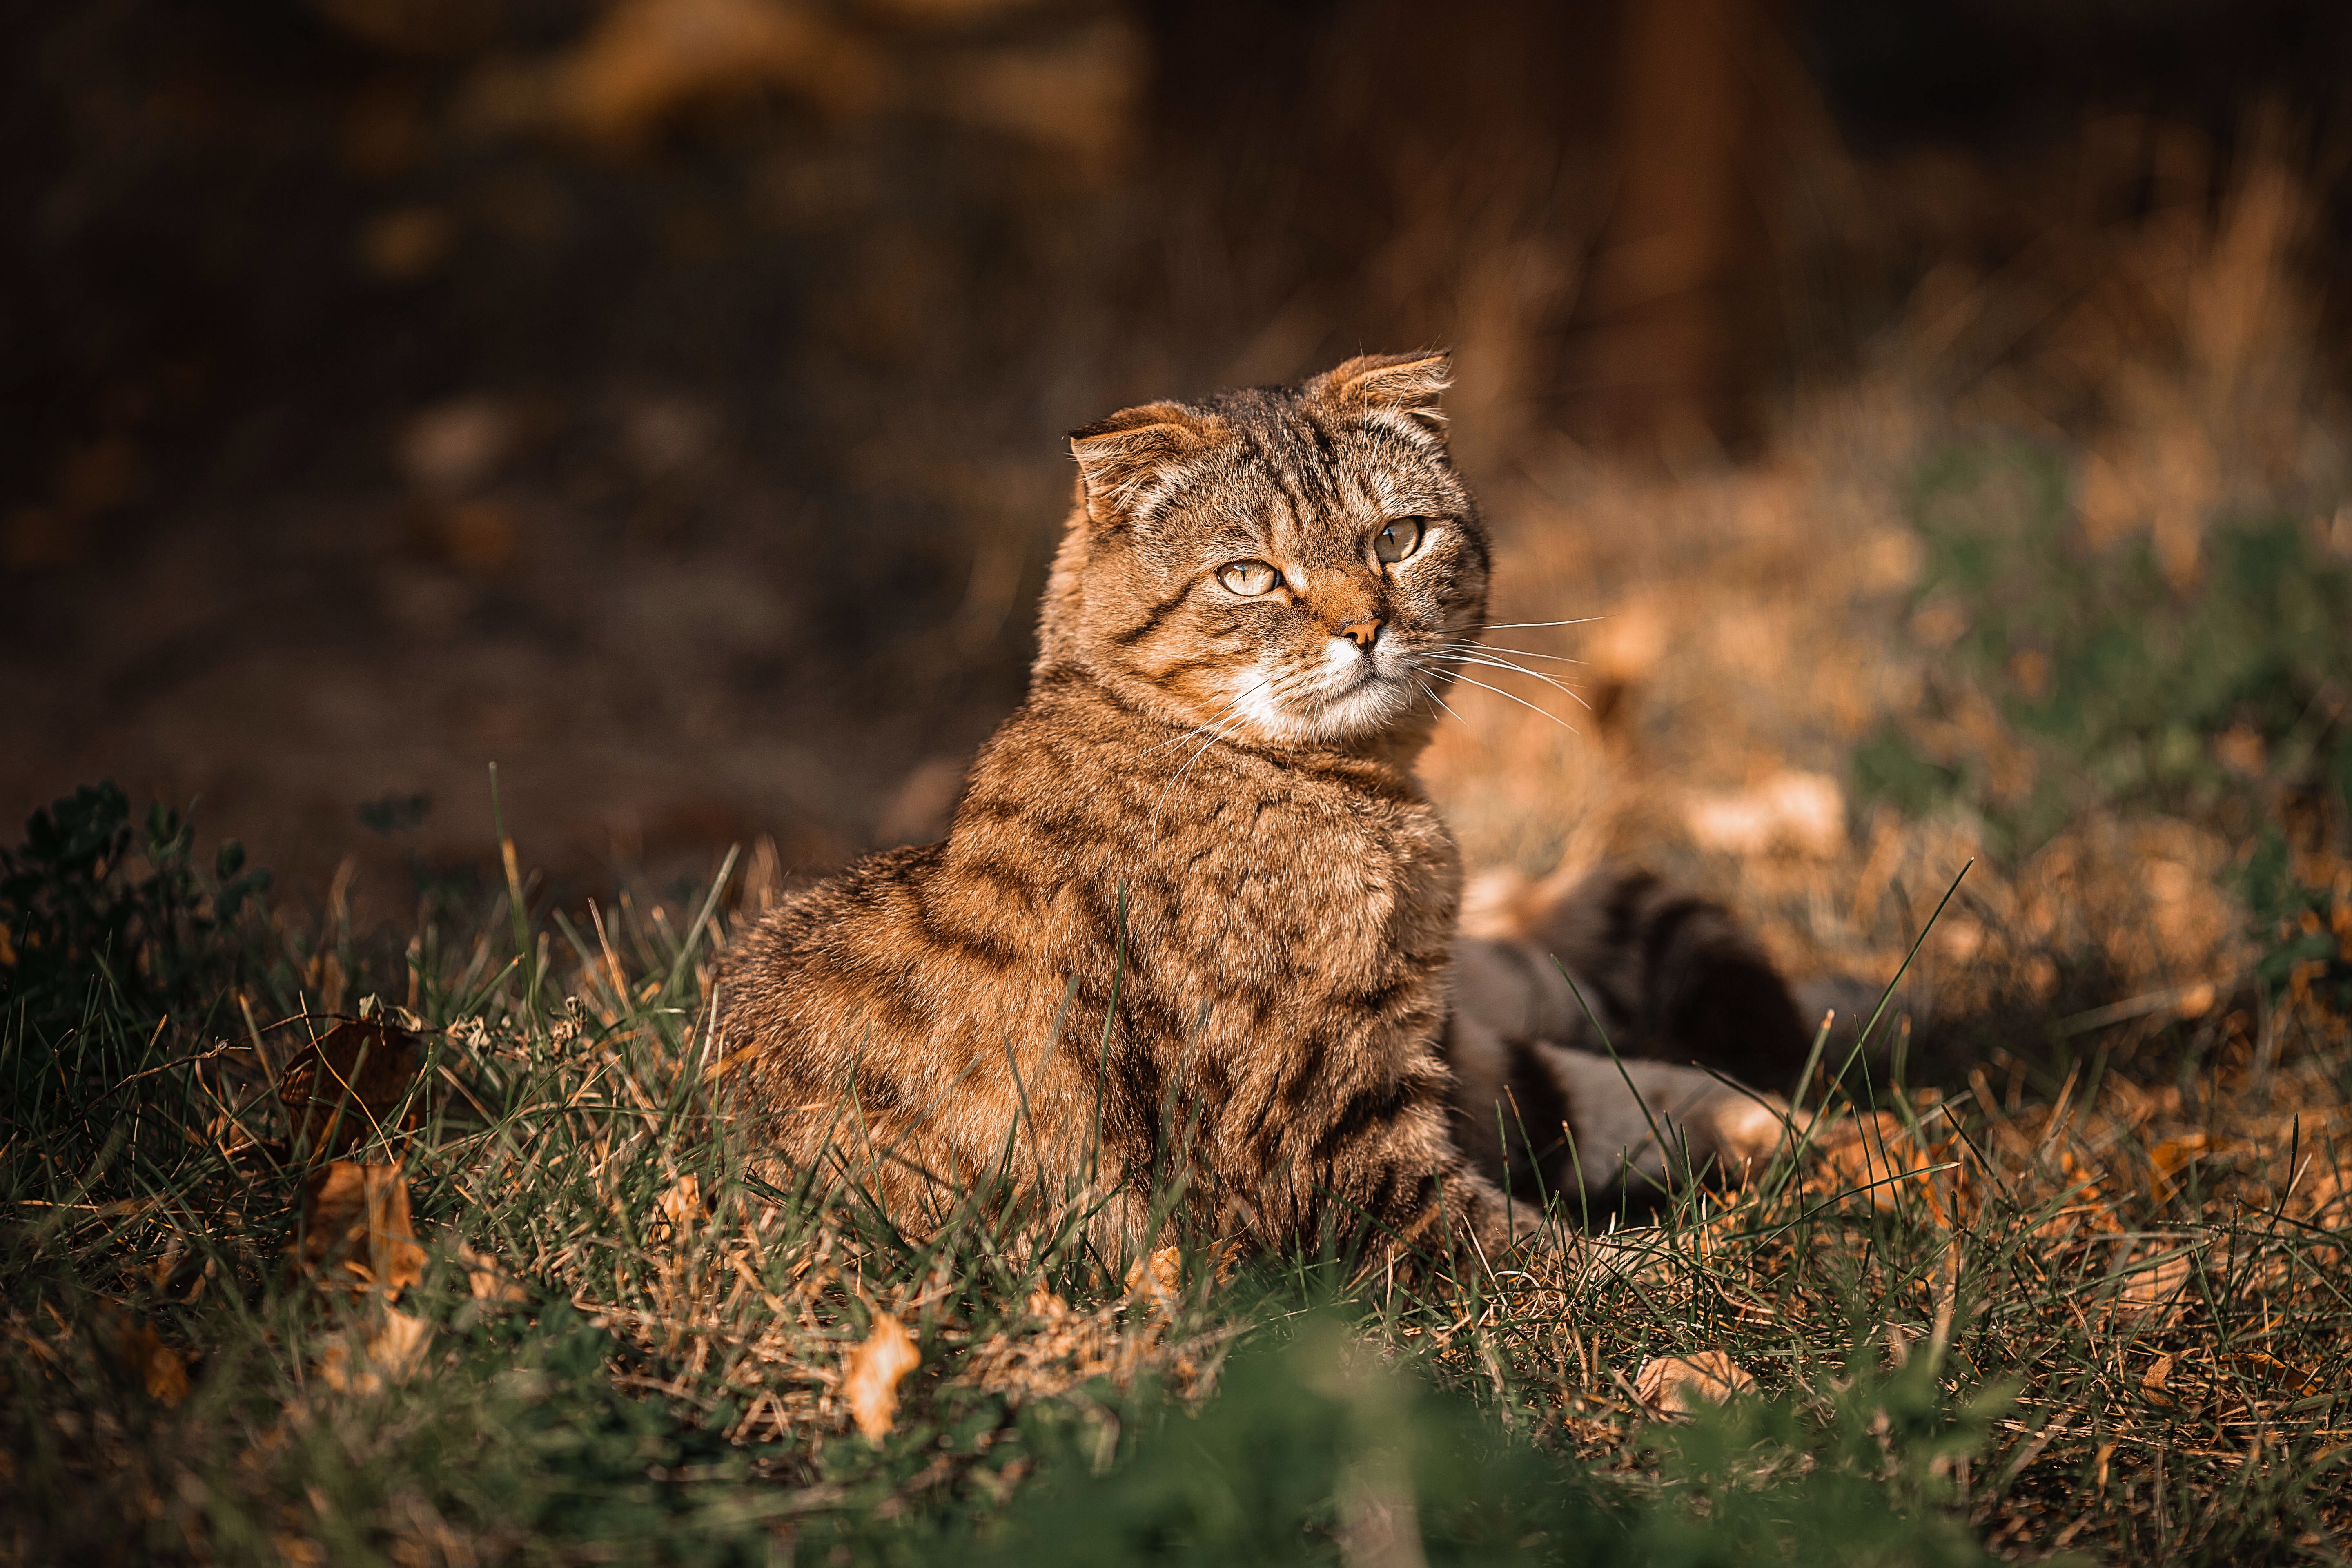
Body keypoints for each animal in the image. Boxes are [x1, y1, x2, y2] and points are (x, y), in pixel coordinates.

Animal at [724, 355, 1806, 1260]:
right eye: (1248, 574)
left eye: (1398, 537)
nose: (1364, 626)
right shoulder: (1327, 1152)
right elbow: (1558, 1267)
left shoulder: (1437, 1051)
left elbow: (1624, 1094)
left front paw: (1816, 1140)